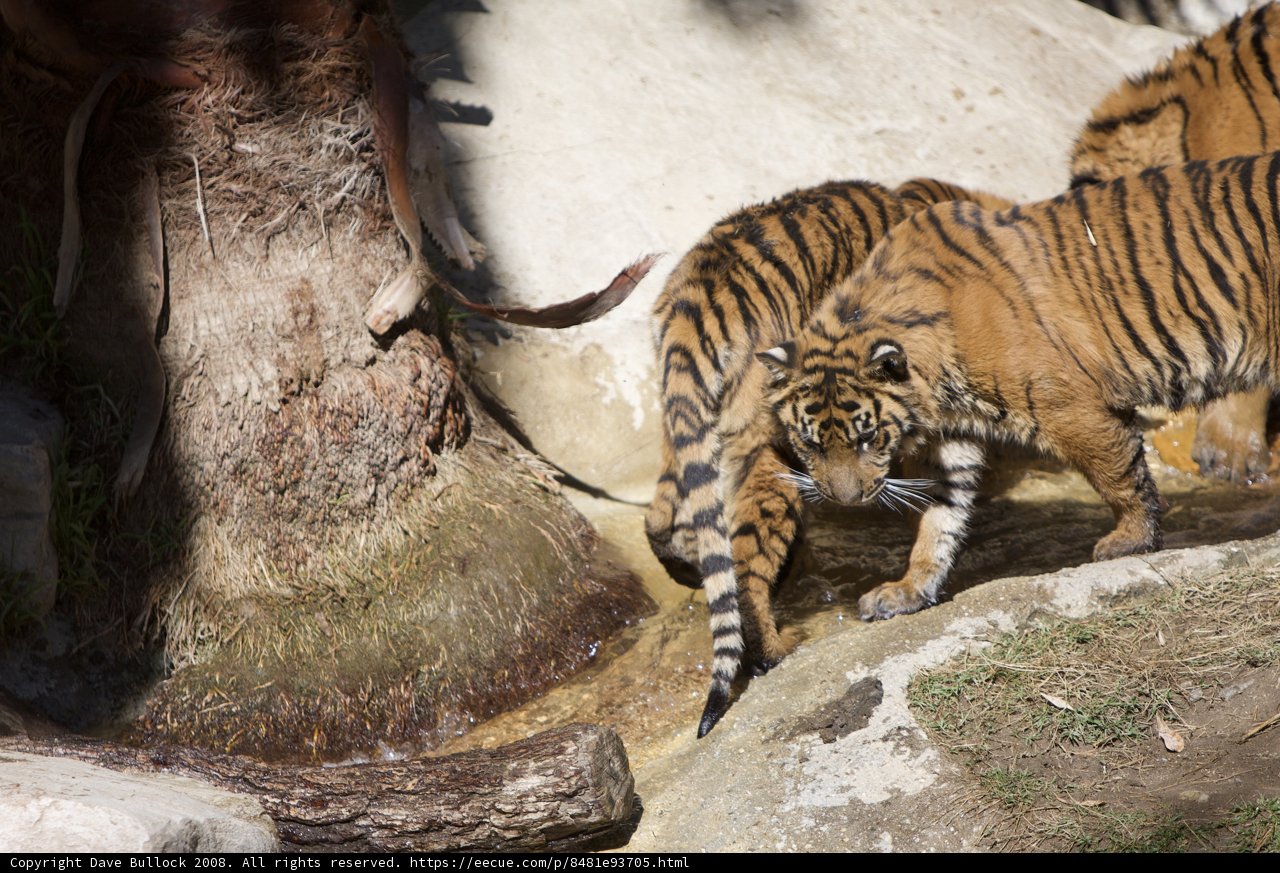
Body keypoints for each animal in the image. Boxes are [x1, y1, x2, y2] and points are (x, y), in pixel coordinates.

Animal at [646, 176, 1013, 737]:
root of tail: (701, 292)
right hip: (771, 443)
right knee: (744, 565)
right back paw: (776, 651)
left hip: (680, 420)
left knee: (664, 518)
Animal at [766, 151, 1280, 624]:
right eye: (810, 444)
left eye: (868, 437)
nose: (845, 501)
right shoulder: (950, 440)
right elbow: (938, 522)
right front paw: (908, 589)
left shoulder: (1073, 409)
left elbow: (1120, 477)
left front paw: (1130, 541)